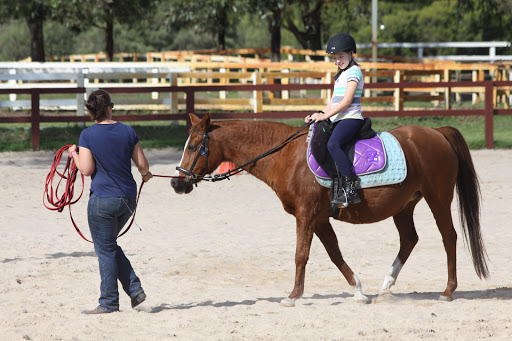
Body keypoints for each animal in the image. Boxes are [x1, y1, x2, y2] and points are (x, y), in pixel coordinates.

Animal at [172, 113, 488, 306]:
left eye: (195, 146)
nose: (177, 183)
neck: (286, 156)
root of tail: (437, 133)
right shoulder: (321, 218)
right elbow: (335, 254)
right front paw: (358, 291)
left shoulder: (306, 214)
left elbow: (301, 255)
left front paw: (293, 295)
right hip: (404, 205)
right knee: (410, 239)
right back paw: (386, 286)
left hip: (438, 199)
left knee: (449, 237)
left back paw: (447, 291)